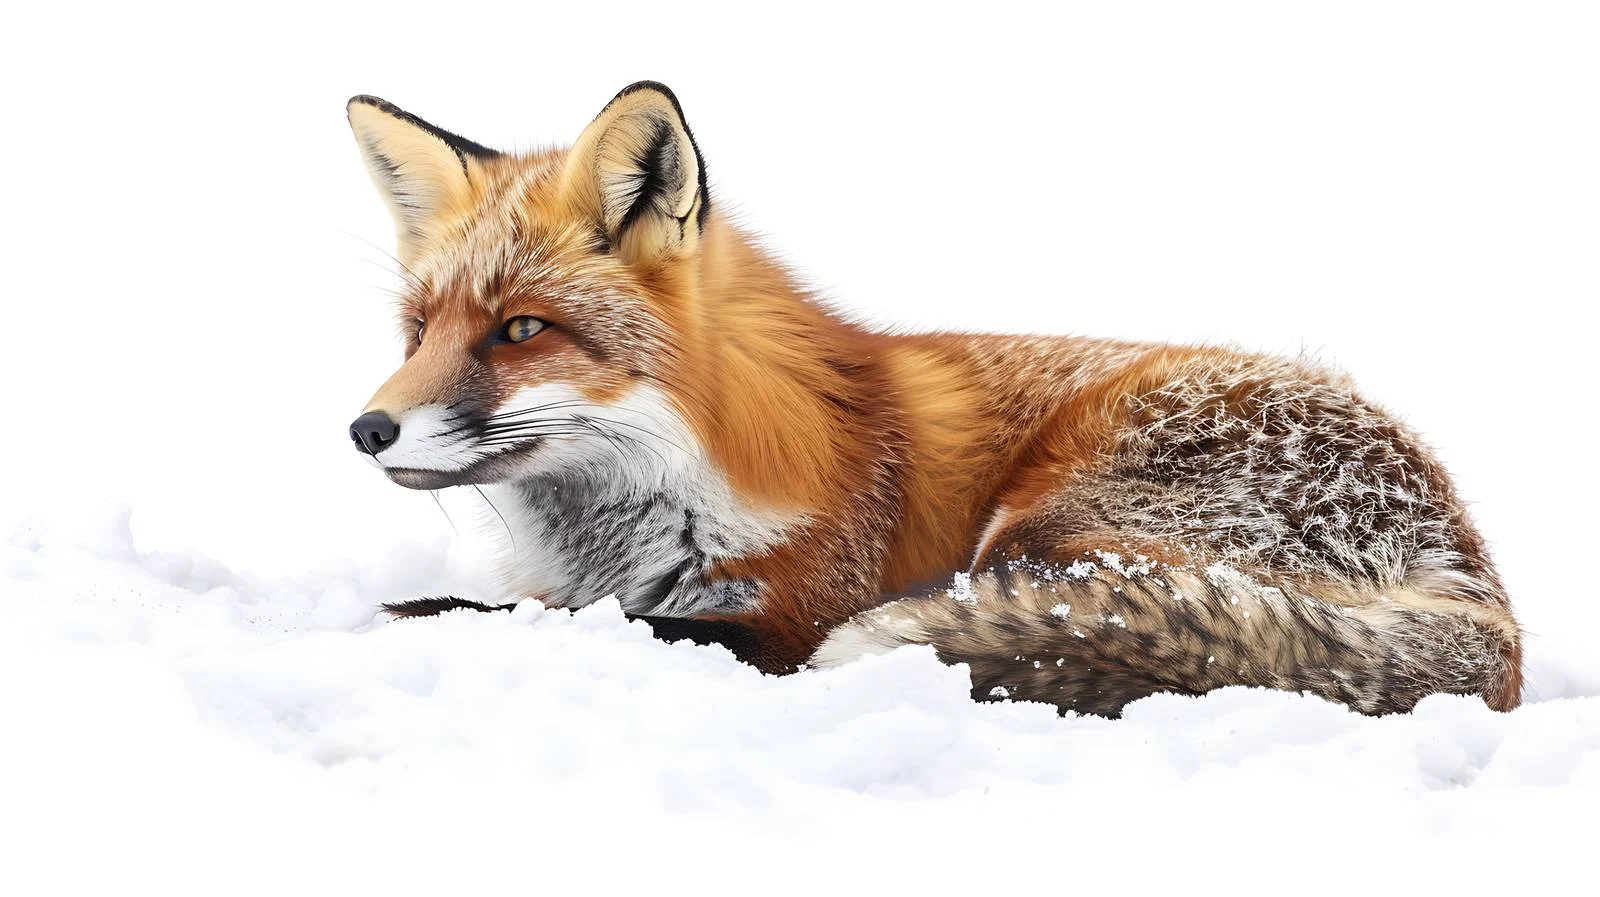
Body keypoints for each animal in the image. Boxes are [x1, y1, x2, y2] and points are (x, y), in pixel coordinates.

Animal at [346, 82, 1522, 717]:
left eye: (521, 330)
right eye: (419, 332)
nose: (366, 429)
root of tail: (1479, 579)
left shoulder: (790, 612)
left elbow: (553, 619)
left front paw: (399, 621)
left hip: (1042, 532)